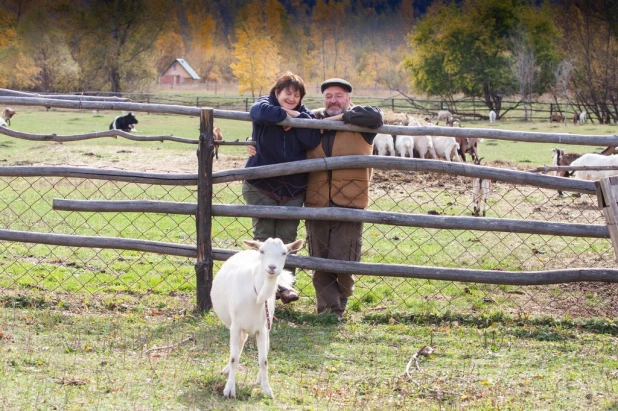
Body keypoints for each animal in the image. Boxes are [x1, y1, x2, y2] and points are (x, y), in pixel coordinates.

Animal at [209, 237, 304, 400]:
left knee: (261, 346)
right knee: (240, 345)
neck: (257, 296)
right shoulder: (235, 325)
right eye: (262, 251)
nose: (272, 267)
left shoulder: (263, 328)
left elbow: (263, 359)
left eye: (284, 253)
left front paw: (267, 389)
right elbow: (234, 357)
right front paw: (229, 390)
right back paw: (227, 370)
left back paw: (258, 378)